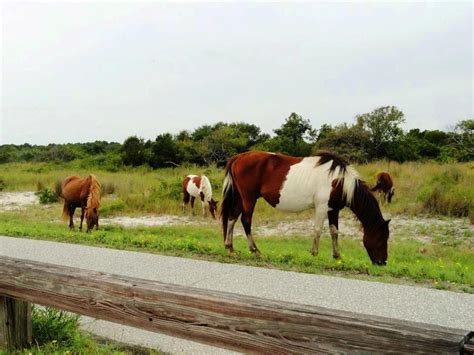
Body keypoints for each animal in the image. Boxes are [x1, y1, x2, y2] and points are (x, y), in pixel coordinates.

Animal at [220, 152, 390, 266]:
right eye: (382, 237)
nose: (382, 262)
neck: (339, 181)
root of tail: (238, 157)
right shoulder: (321, 207)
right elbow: (318, 230)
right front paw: (314, 254)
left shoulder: (333, 209)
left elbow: (334, 231)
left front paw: (337, 256)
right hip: (249, 198)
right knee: (246, 220)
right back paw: (255, 250)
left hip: (241, 198)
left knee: (232, 218)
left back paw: (230, 248)